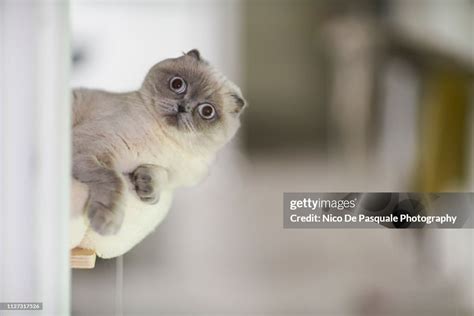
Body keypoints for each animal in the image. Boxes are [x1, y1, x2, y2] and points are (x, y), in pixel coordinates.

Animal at [73, 49, 248, 236]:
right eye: (178, 84)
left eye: (207, 111)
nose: (182, 107)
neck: (164, 141)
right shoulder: (91, 149)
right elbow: (115, 179)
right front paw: (107, 223)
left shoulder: (173, 177)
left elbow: (160, 174)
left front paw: (148, 189)